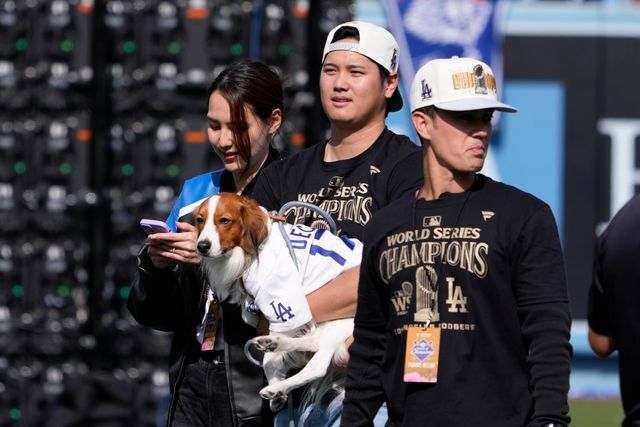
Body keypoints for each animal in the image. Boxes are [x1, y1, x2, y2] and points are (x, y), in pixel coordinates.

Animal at [194, 193, 360, 412]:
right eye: (200, 220)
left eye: (224, 220)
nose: (202, 246)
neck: (249, 252)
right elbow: (269, 361)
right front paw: (278, 391)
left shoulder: (283, 305)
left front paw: (276, 387)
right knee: (312, 342)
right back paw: (273, 344)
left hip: (342, 323)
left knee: (318, 364)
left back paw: (276, 385)